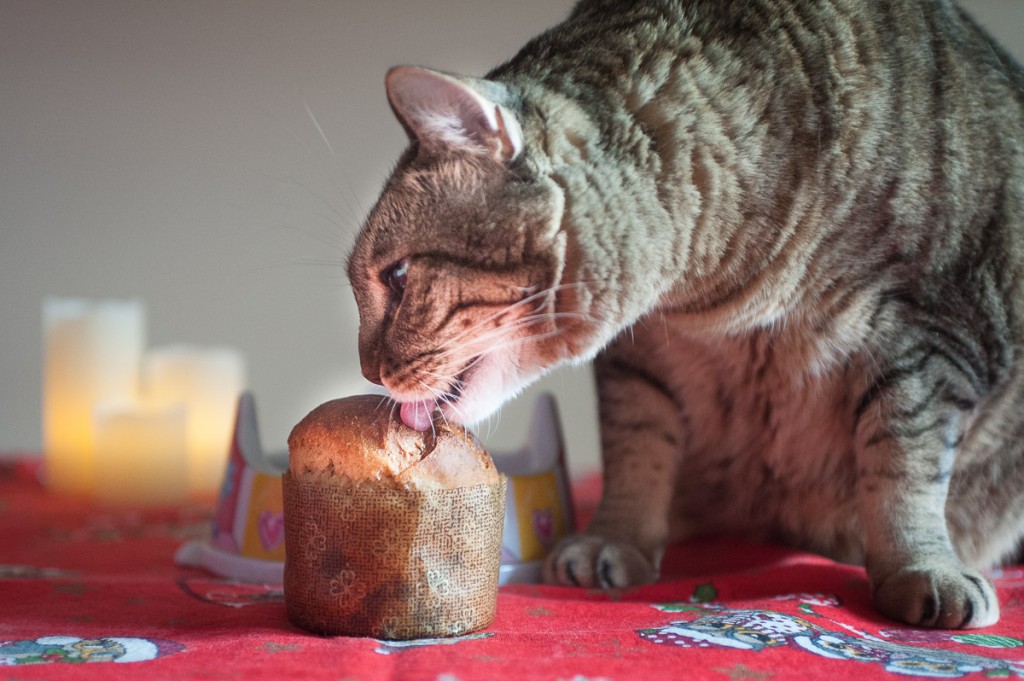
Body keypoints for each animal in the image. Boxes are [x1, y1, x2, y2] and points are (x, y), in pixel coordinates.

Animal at [348, 0, 1024, 626]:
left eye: (398, 277)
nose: (366, 370)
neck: (720, 299)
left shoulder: (931, 338)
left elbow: (904, 467)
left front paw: (923, 570)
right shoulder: (638, 356)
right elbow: (636, 447)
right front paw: (613, 539)